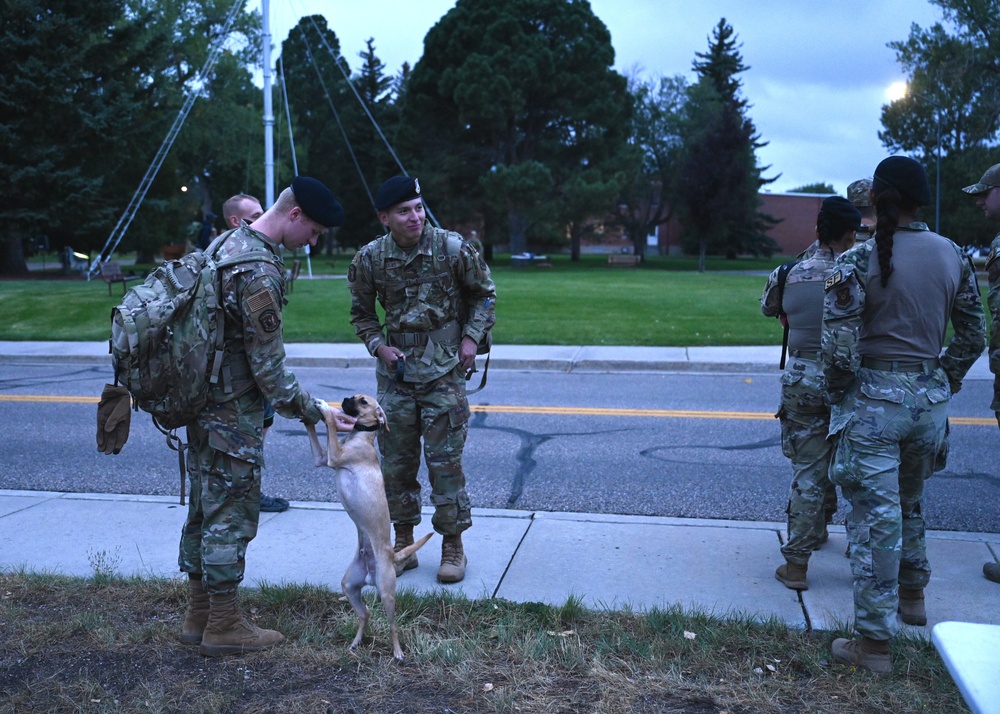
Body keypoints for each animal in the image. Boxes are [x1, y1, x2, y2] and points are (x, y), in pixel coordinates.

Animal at [304, 392, 430, 660]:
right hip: (350, 586)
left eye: (363, 401)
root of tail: (391, 556)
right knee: (365, 614)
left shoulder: (334, 456)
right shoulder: (322, 458)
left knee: (393, 625)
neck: (359, 436)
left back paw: (397, 652)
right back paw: (355, 643)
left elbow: (331, 425)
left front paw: (325, 408)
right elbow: (315, 431)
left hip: (386, 592)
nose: (344, 398)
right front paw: (309, 412)